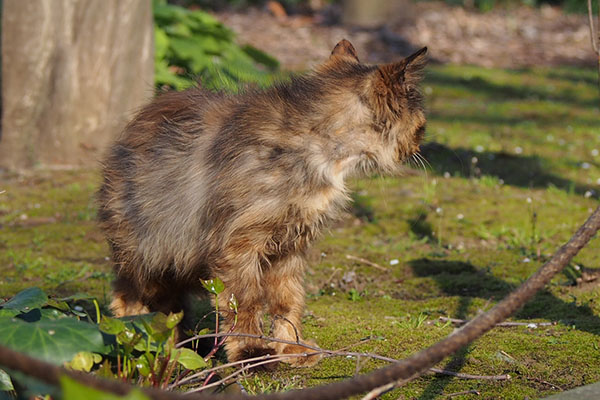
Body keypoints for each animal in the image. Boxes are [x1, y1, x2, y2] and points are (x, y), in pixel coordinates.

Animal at [98, 39, 426, 368]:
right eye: (421, 124)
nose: (419, 144)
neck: (320, 149)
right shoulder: (239, 246)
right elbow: (245, 302)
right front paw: (251, 351)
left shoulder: (290, 246)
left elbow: (288, 301)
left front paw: (291, 347)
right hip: (148, 249)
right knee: (129, 294)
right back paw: (137, 341)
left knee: (170, 307)